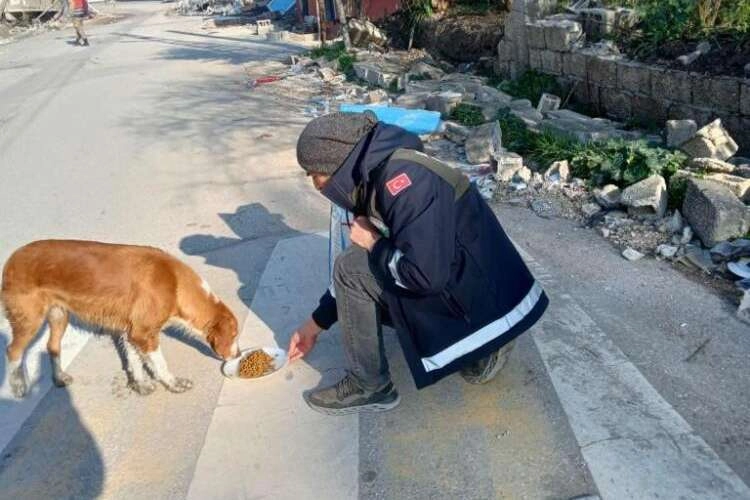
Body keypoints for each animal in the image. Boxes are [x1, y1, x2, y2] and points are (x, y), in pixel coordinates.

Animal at [0, 240, 239, 396]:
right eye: (235, 335)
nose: (237, 354)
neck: (175, 283)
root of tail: (12, 257)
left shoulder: (132, 332)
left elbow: (134, 361)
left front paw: (140, 385)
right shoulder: (143, 334)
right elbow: (160, 363)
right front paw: (173, 383)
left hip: (59, 315)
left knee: (52, 346)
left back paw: (59, 377)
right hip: (30, 319)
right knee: (13, 351)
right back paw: (18, 386)